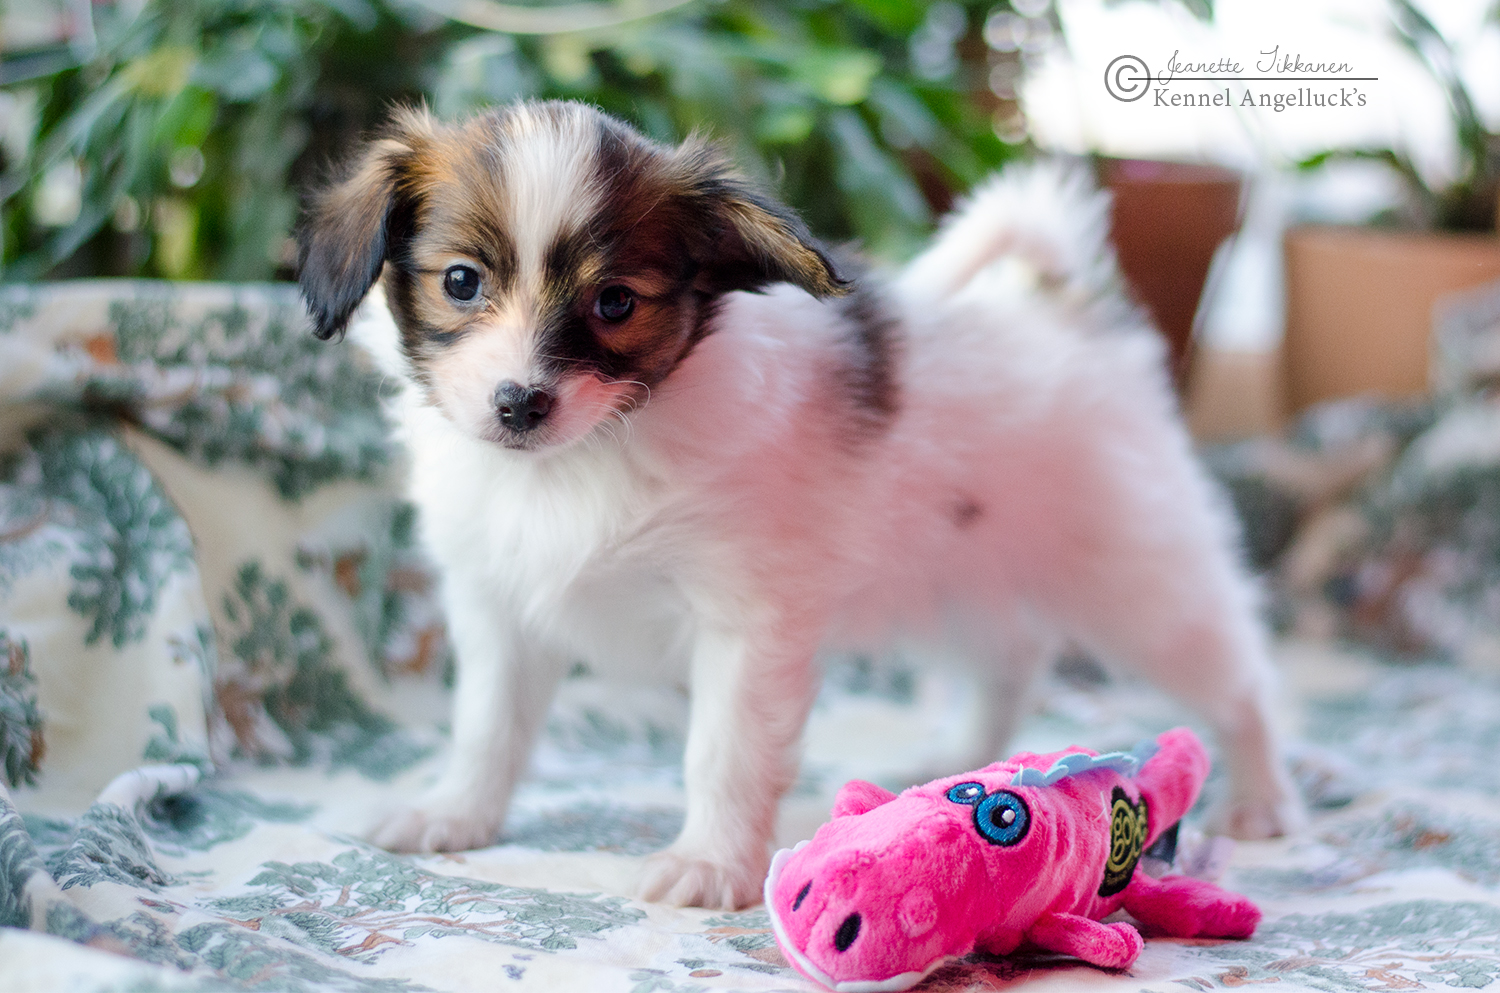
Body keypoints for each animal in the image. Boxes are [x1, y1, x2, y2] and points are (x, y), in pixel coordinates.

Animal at [296, 100, 1300, 911]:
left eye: (615, 302)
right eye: (461, 280)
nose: (519, 403)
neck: (584, 456)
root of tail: (1058, 315)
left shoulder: (746, 621)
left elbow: (724, 750)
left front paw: (708, 865)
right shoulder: (500, 603)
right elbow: (488, 726)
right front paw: (455, 812)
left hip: (1140, 581)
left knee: (1238, 681)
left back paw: (1259, 798)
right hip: (956, 575)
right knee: (1013, 657)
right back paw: (963, 759)